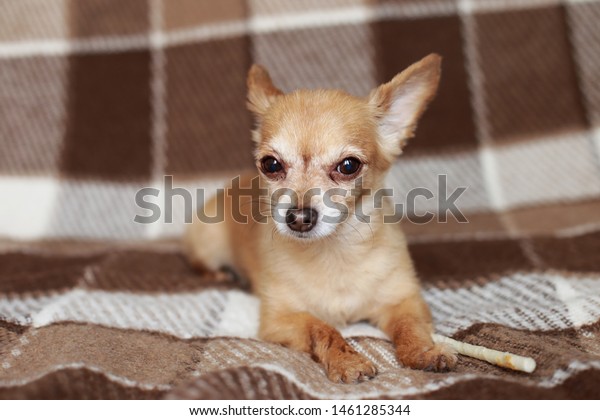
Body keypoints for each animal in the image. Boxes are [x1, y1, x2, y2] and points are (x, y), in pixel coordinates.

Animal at [185, 55, 458, 384]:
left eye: (349, 166)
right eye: (271, 164)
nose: (298, 217)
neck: (334, 253)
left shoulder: (404, 301)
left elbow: (410, 326)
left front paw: (424, 351)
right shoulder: (281, 320)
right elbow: (322, 328)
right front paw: (347, 361)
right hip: (208, 241)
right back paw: (221, 275)